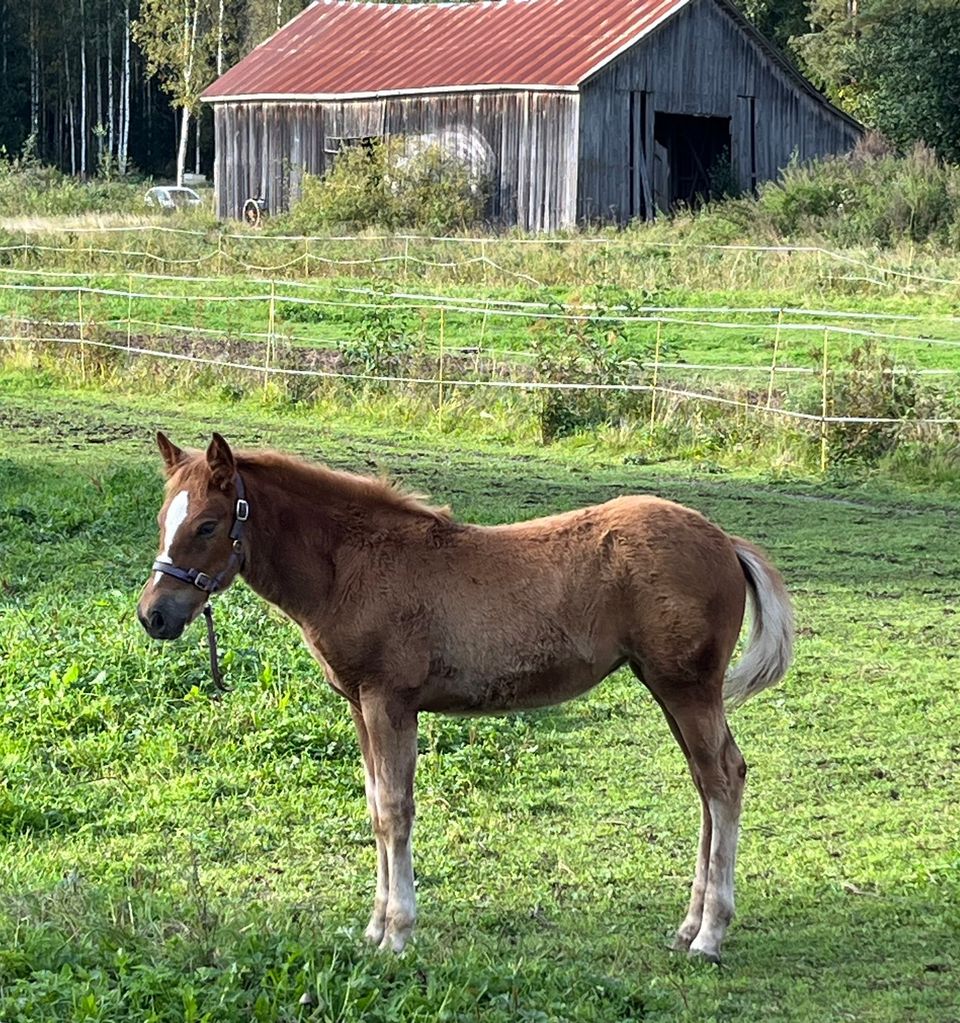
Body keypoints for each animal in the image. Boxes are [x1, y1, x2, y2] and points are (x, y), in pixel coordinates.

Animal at [136, 435, 794, 961]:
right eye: (163, 520)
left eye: (207, 525)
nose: (154, 616)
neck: (353, 567)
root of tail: (725, 539)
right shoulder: (359, 705)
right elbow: (374, 806)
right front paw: (373, 928)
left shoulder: (390, 702)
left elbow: (394, 811)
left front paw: (397, 933)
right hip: (666, 686)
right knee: (706, 785)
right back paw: (688, 926)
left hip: (689, 688)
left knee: (724, 778)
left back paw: (710, 935)